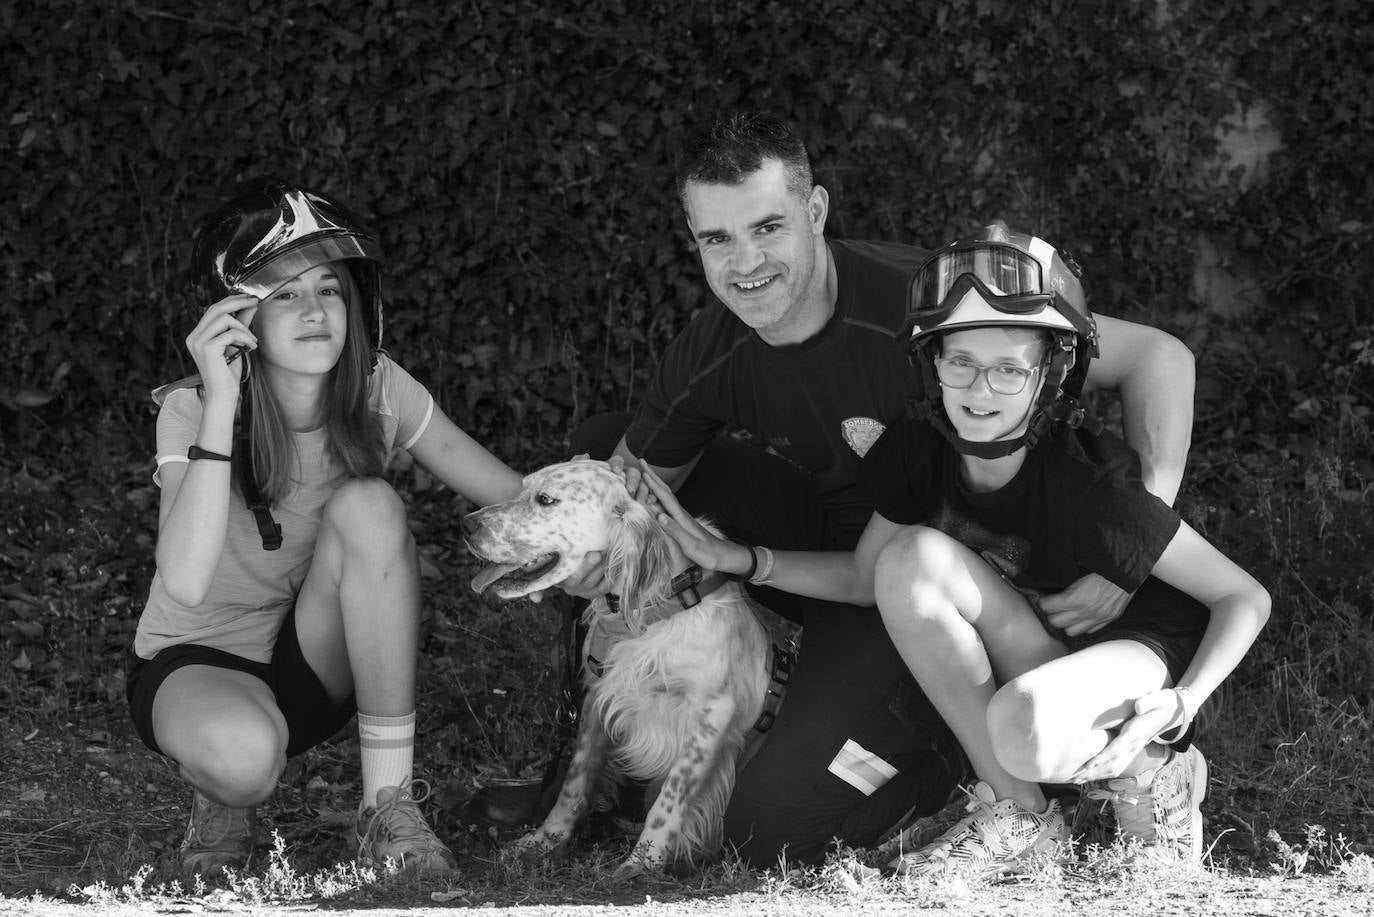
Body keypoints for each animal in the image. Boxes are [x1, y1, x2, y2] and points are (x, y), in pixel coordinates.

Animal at [464, 461, 796, 879]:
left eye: (546, 500)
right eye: (521, 489)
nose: (466, 524)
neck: (658, 606)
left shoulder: (710, 718)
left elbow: (669, 801)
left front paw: (642, 864)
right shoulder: (599, 695)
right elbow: (574, 785)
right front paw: (544, 842)